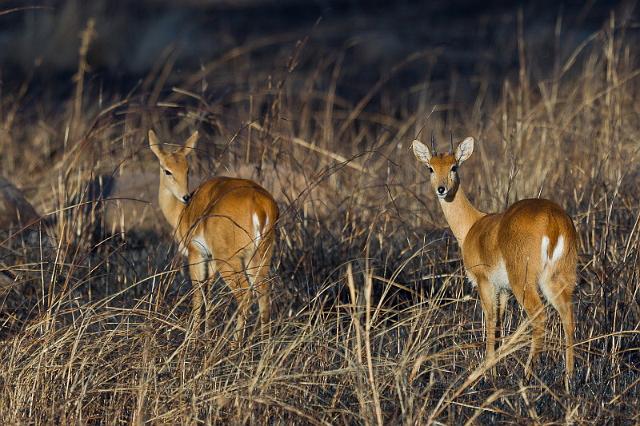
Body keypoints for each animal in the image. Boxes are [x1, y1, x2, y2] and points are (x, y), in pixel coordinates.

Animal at [151, 130, 282, 340]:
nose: (185, 196)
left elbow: (197, 294)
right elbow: (208, 292)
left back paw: (235, 343)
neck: (181, 212)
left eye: (187, 169)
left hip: (230, 259)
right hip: (260, 255)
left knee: (245, 294)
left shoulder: (196, 253)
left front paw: (193, 339)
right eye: (167, 170)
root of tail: (261, 206)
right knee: (263, 292)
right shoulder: (210, 259)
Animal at [412, 136, 576, 386]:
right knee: (568, 315)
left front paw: (489, 372)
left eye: (454, 166)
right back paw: (569, 378)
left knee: (539, 317)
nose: (441, 189)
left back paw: (526, 377)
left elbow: (489, 320)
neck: (472, 226)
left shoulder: (484, 282)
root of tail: (553, 220)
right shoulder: (504, 289)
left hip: (524, 281)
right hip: (558, 277)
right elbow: (499, 323)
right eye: (430, 167)